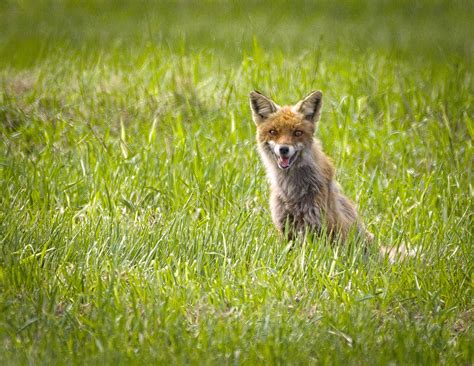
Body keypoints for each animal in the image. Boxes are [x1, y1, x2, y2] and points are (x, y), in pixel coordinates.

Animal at [248, 89, 374, 243]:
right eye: (273, 132)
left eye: (297, 133)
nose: (283, 149)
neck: (292, 189)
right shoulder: (285, 227)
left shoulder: (322, 227)